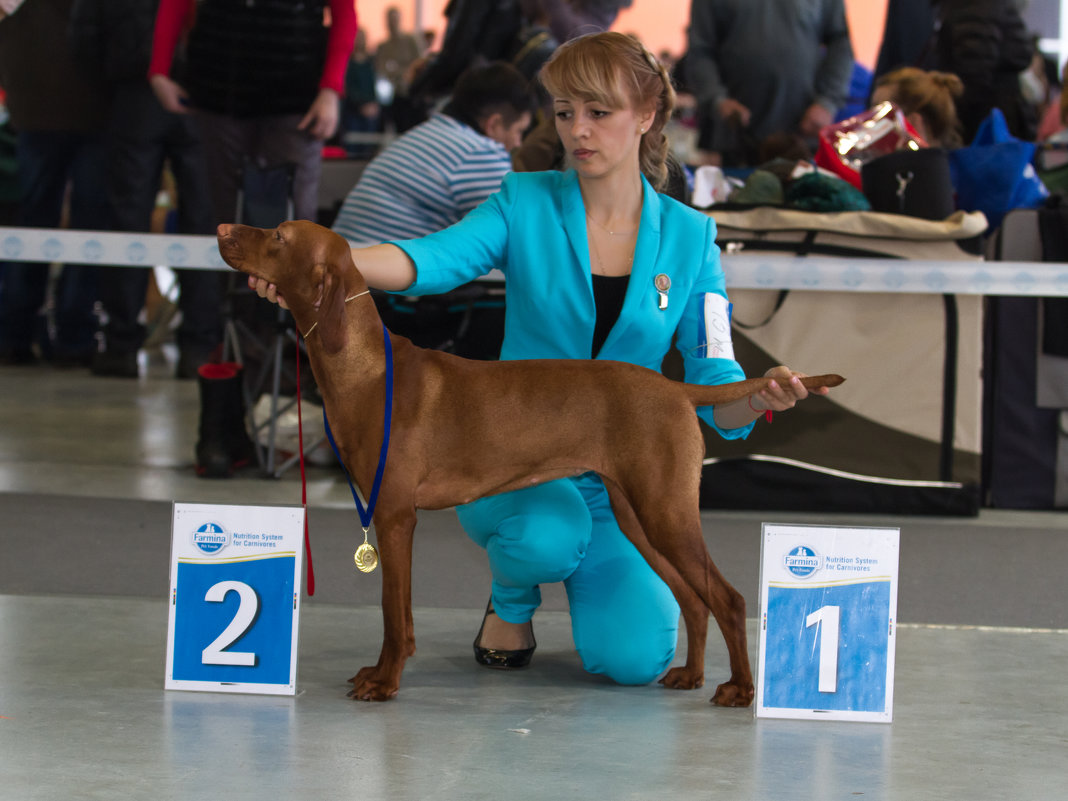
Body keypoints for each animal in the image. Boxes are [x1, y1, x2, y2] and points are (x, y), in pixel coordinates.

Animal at [216, 220, 841, 709]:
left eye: (278, 236)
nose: (222, 229)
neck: (366, 370)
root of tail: (675, 388)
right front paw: (379, 673)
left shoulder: (394, 516)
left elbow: (395, 614)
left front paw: (386, 679)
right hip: (639, 514)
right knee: (693, 599)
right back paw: (689, 674)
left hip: (665, 511)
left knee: (727, 599)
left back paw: (740, 690)